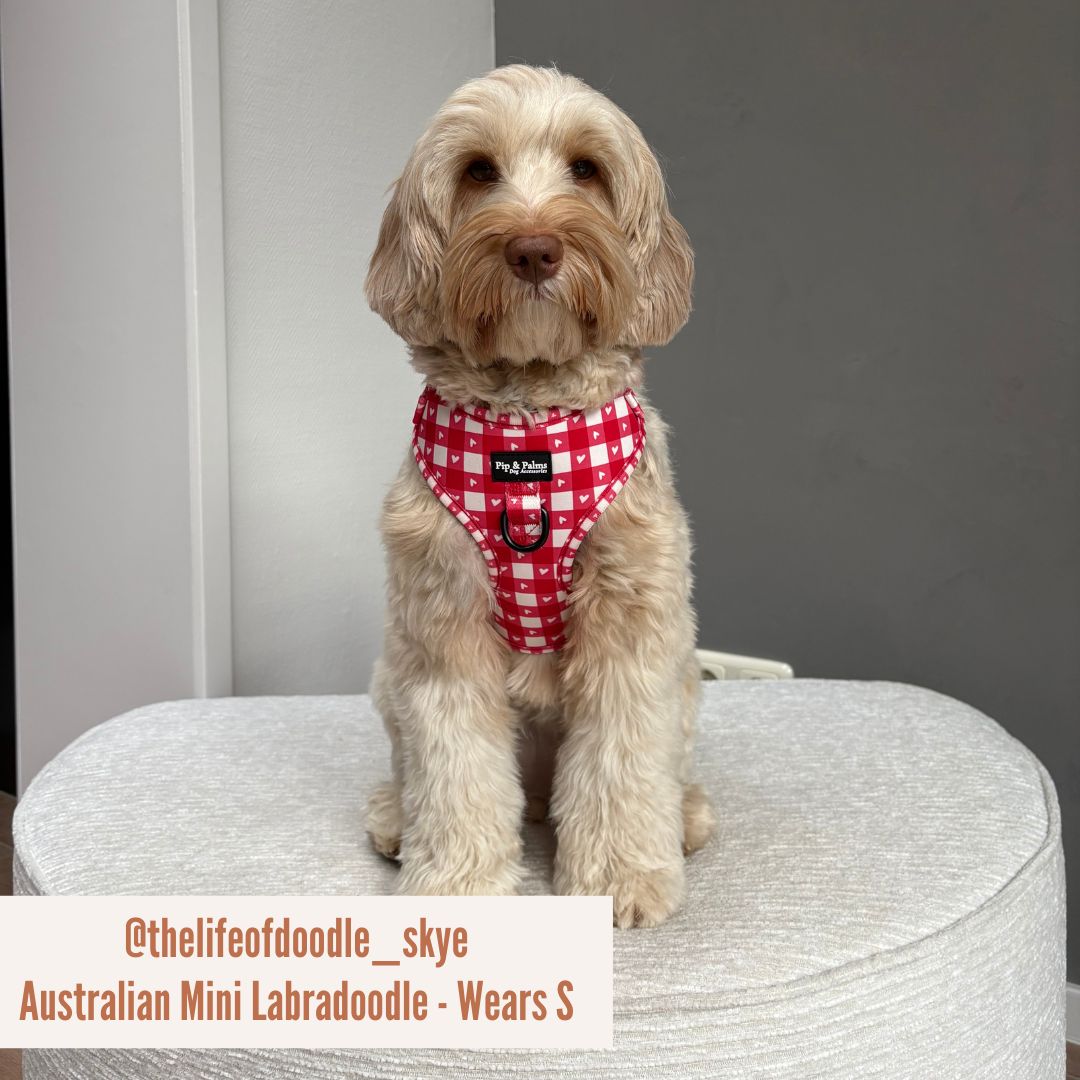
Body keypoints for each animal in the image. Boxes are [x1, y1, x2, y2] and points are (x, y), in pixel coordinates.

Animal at [363, 65, 713, 928]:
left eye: (586, 169)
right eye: (478, 172)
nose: (532, 248)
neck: (528, 423)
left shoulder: (635, 611)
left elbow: (624, 755)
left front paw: (622, 877)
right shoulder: (440, 618)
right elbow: (453, 763)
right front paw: (458, 886)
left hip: (686, 682)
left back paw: (685, 818)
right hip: (390, 675)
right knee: (427, 773)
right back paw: (395, 819)